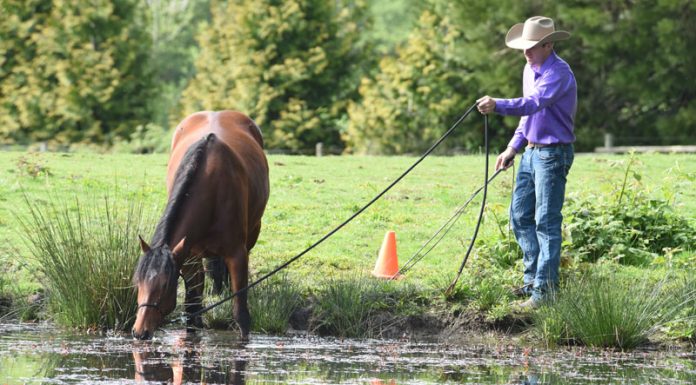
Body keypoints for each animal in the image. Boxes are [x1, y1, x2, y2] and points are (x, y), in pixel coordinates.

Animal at [130, 110, 270, 340]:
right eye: (138, 282)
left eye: (166, 285)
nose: (140, 332)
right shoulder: (189, 256)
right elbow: (192, 310)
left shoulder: (238, 255)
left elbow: (240, 313)